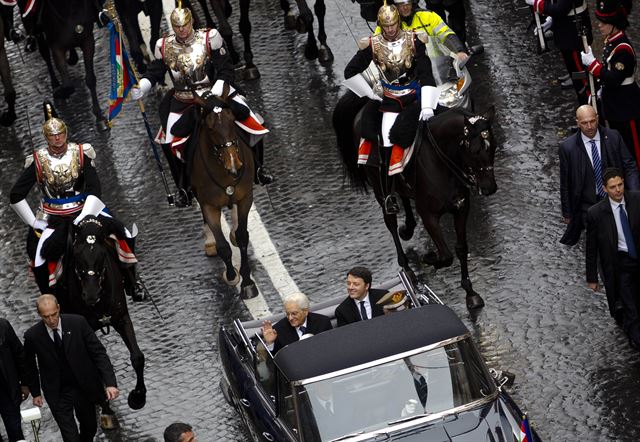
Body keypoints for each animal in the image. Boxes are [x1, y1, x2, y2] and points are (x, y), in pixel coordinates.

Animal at [191, 87, 258, 298]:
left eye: (232, 121)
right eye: (210, 128)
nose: (234, 166)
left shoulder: (245, 197)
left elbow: (243, 236)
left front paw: (247, 282)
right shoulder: (209, 205)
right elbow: (223, 246)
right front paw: (231, 275)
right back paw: (210, 241)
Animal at [332, 91, 502, 310]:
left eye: (494, 146)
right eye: (474, 150)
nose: (490, 188)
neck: (441, 161)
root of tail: (367, 104)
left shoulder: (461, 207)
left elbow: (461, 249)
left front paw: (470, 292)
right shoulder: (429, 214)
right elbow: (446, 255)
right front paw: (429, 258)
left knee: (404, 196)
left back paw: (408, 228)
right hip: (378, 188)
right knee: (390, 221)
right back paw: (407, 268)